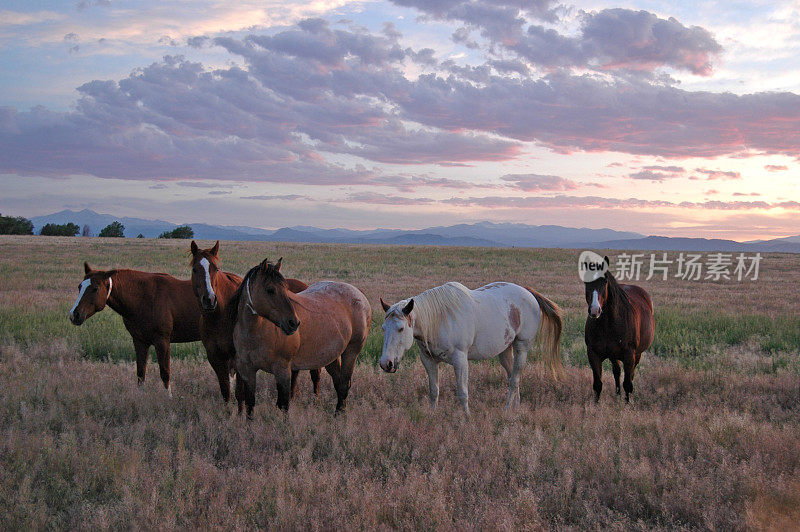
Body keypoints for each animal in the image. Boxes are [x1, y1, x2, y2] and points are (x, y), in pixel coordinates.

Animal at [68, 260, 203, 394]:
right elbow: (141, 374)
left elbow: (165, 373)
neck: (145, 298)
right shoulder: (140, 341)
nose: (74, 315)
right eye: (80, 286)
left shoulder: (162, 341)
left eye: (95, 288)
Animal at [189, 241, 320, 408]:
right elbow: (226, 392)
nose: (209, 299)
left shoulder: (238, 359)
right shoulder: (215, 357)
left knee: (315, 373)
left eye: (215, 269)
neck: (220, 318)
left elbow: (240, 394)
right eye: (194, 269)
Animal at [228, 258, 372, 420]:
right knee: (338, 381)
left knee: (344, 384)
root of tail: (359, 294)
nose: (293, 323)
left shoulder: (282, 369)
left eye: (285, 289)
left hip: (351, 351)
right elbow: (250, 404)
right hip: (331, 356)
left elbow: (283, 404)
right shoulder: (247, 370)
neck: (254, 334)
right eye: (270, 289)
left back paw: (339, 416)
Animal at [380, 280, 564, 414]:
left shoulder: (460, 360)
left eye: (401, 328)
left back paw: (506, 410)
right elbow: (434, 391)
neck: (439, 320)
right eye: (383, 328)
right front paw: (432, 415)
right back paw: (515, 407)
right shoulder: (428, 360)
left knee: (515, 379)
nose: (385, 364)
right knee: (513, 377)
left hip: (522, 347)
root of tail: (528, 292)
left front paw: (466, 418)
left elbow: (463, 392)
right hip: (505, 351)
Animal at [580, 256, 656, 402]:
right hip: (613, 355)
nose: (594, 310)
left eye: (605, 282)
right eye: (586, 282)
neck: (608, 324)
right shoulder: (593, 354)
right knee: (617, 371)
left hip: (636, 354)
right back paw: (617, 394)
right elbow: (597, 384)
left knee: (630, 375)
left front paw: (627, 405)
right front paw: (595, 405)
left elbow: (627, 383)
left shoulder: (629, 355)